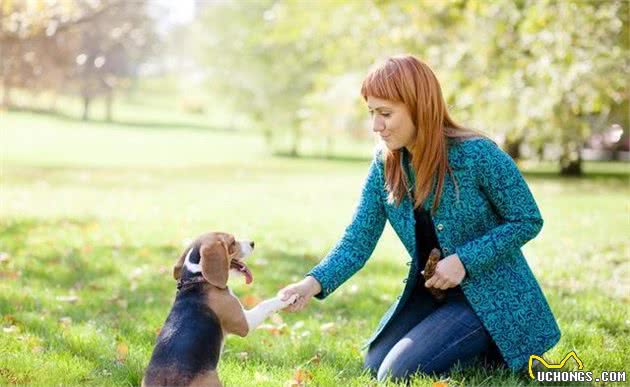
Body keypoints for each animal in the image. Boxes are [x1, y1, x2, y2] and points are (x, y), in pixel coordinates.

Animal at [143, 232, 298, 386]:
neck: (198, 278)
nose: (252, 243)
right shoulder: (244, 323)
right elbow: (265, 304)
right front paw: (287, 296)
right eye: (233, 242)